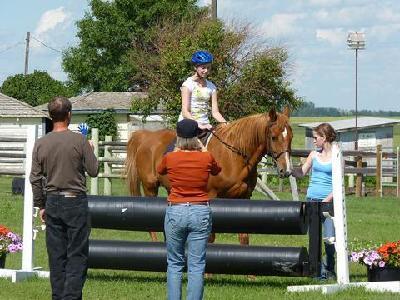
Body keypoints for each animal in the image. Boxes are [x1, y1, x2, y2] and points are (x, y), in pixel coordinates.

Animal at [126, 108, 294, 244]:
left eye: (290, 137)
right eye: (273, 137)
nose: (286, 170)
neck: (233, 156)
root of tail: (145, 136)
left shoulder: (244, 197)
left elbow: (244, 237)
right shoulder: (212, 197)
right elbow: (210, 237)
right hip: (150, 187)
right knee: (152, 226)